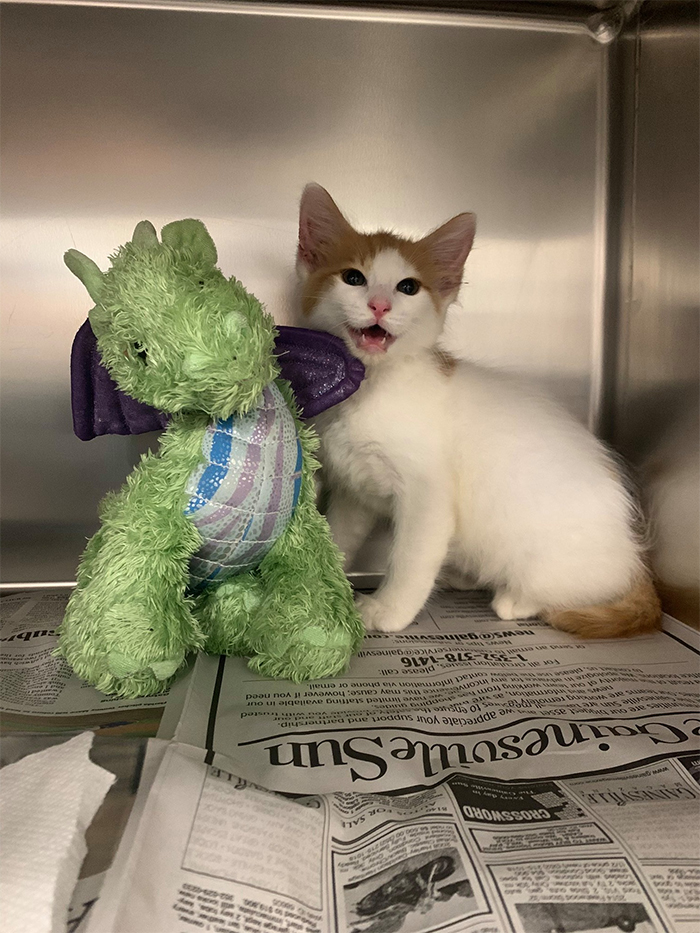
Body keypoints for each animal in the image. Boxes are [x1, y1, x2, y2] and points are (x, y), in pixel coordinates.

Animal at [296, 182, 660, 632]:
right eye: (353, 278)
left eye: (408, 288)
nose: (380, 305)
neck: (371, 388)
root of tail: (634, 554)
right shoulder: (355, 491)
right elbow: (341, 534)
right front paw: (323, 581)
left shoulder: (428, 497)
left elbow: (411, 559)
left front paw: (389, 611)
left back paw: (513, 600)